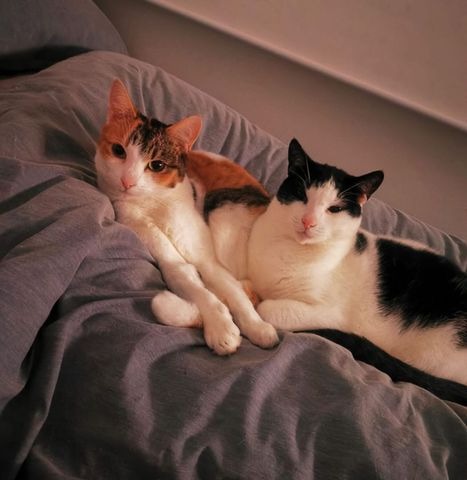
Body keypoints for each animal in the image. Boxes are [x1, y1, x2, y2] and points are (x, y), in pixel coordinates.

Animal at [94, 79, 278, 355]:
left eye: (157, 165)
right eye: (119, 151)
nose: (128, 181)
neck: (154, 203)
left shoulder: (208, 260)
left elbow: (235, 296)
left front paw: (257, 328)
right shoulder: (167, 258)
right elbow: (196, 286)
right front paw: (222, 328)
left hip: (223, 208)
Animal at [247, 138, 467, 387]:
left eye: (334, 209)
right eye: (301, 195)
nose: (308, 221)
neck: (292, 251)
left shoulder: (330, 314)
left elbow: (268, 307)